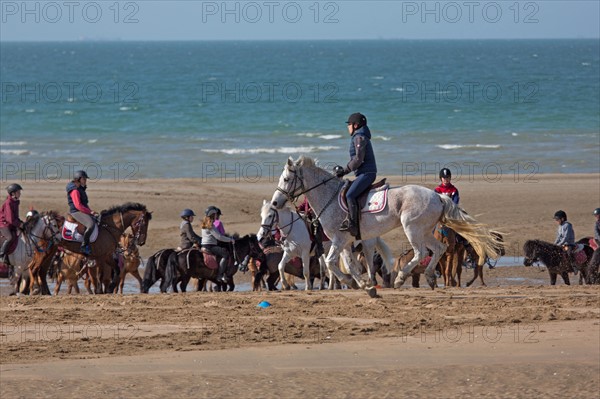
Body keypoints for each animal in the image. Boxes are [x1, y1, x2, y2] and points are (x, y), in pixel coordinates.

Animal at [272, 156, 502, 296]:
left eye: (286, 179)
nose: (275, 203)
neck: (328, 196)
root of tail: (438, 196)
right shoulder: (344, 242)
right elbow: (350, 265)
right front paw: (361, 284)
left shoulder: (338, 240)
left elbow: (330, 263)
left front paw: (356, 283)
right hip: (426, 231)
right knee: (438, 248)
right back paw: (429, 277)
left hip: (412, 228)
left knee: (420, 253)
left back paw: (401, 278)